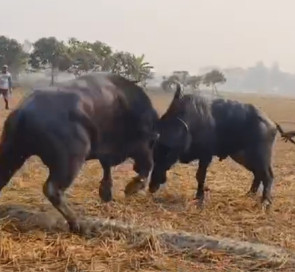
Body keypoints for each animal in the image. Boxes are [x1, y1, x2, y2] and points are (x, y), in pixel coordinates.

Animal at [0, 72, 160, 232]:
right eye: (152, 142)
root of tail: (23, 111)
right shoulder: (141, 147)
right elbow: (147, 166)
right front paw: (130, 188)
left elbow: (106, 168)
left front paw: (106, 192)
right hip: (72, 160)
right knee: (52, 189)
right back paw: (77, 224)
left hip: (12, 155)